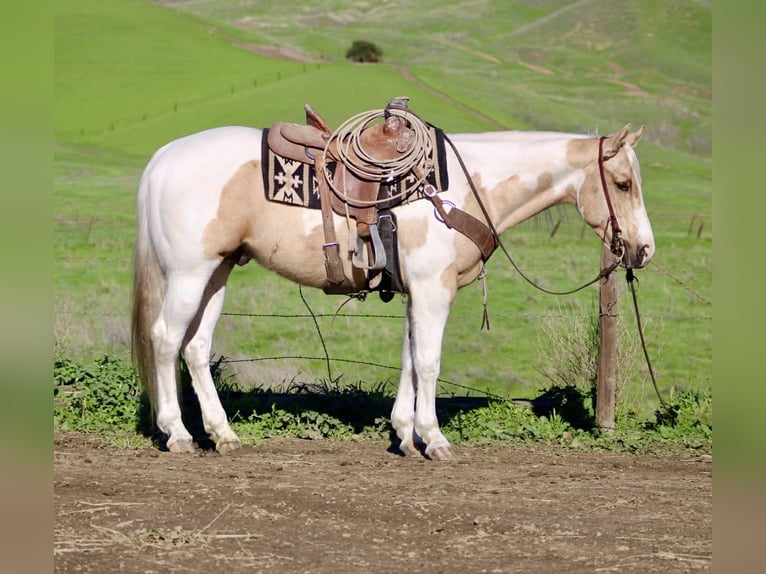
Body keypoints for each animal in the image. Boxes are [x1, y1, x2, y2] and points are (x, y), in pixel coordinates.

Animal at [131, 112, 654, 460]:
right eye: (623, 184)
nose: (644, 249)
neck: (460, 189)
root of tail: (164, 157)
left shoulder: (414, 293)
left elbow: (408, 360)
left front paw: (405, 433)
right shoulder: (433, 290)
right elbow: (429, 362)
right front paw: (434, 438)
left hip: (216, 273)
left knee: (196, 347)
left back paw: (222, 434)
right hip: (189, 274)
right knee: (165, 340)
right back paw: (177, 434)